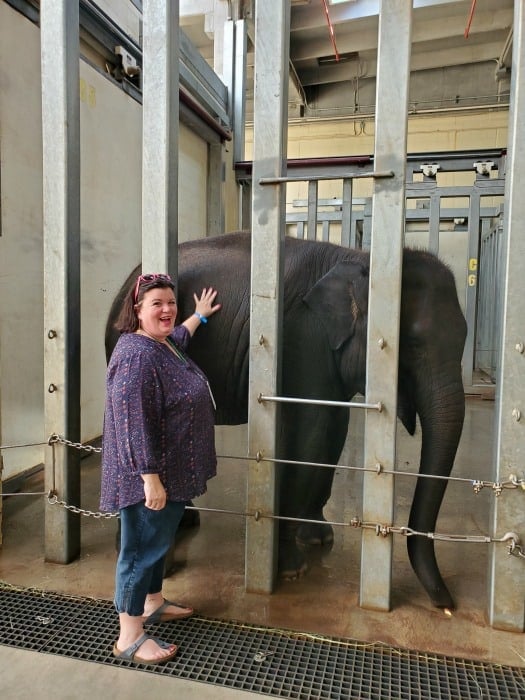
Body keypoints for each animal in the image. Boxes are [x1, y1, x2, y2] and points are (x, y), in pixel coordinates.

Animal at [105, 232, 466, 608]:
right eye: (410, 345)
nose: (447, 604)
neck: (359, 258)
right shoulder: (304, 338)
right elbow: (309, 436)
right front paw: (293, 570)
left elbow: (333, 432)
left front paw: (319, 539)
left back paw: (187, 520)